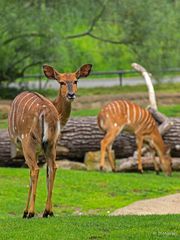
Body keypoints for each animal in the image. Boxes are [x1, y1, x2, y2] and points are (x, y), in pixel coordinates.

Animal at [7, 63, 92, 218]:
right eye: (62, 82)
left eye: (76, 81)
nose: (71, 94)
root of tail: (45, 111)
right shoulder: (53, 144)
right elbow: (48, 172)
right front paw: (49, 210)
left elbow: (31, 174)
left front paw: (25, 211)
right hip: (49, 144)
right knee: (53, 167)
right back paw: (48, 211)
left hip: (28, 141)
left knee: (34, 170)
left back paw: (31, 212)